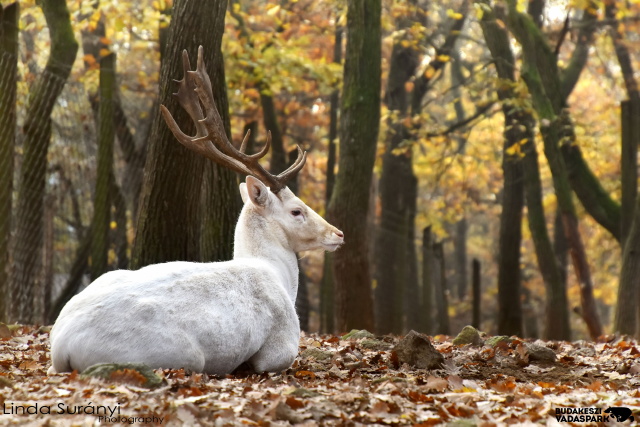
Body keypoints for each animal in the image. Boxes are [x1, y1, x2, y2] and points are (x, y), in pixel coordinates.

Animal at [48, 45, 344, 376]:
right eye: (296, 211)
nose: (338, 234)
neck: (277, 274)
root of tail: (60, 347)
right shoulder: (282, 345)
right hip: (180, 356)